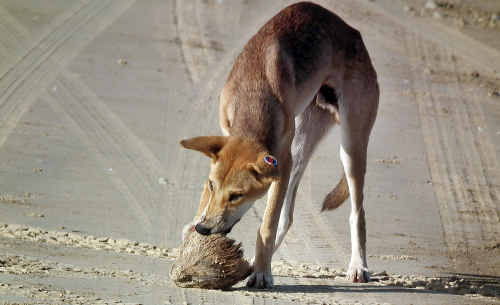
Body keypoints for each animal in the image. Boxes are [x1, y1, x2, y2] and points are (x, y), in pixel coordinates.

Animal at [180, 1, 378, 288]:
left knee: (357, 213)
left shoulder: (280, 162)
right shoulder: (233, 143)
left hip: (349, 146)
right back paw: (253, 261)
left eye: (237, 195)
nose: (203, 229)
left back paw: (357, 265)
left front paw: (263, 273)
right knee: (288, 216)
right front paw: (192, 228)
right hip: (301, 146)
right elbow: (210, 199)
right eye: (212, 185)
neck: (253, 96)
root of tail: (353, 32)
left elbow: (267, 225)